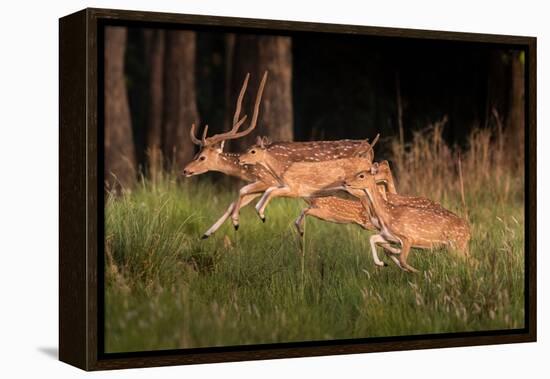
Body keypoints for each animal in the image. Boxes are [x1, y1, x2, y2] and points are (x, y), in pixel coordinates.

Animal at [181, 71, 380, 238]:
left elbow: (240, 195)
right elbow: (234, 202)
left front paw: (235, 223)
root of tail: (369, 147)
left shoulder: (266, 180)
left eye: (202, 157)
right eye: (197, 153)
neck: (247, 171)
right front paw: (207, 233)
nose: (185, 170)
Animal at [342, 163, 472, 274]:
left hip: (457, 244)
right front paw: (382, 263)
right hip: (455, 246)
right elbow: (372, 239)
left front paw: (418, 272)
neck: (387, 215)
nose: (345, 182)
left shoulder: (408, 237)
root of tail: (468, 230)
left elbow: (403, 260)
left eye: (361, 175)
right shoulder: (390, 237)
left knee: (470, 261)